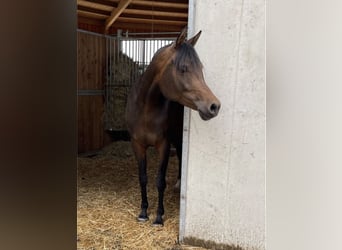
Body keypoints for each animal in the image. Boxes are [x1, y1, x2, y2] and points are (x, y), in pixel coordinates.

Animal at [127, 27, 220, 227]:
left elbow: (160, 181)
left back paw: (178, 184)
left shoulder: (163, 144)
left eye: (201, 69)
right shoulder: (137, 144)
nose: (214, 106)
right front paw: (143, 212)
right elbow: (143, 178)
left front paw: (158, 217)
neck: (146, 109)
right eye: (183, 68)